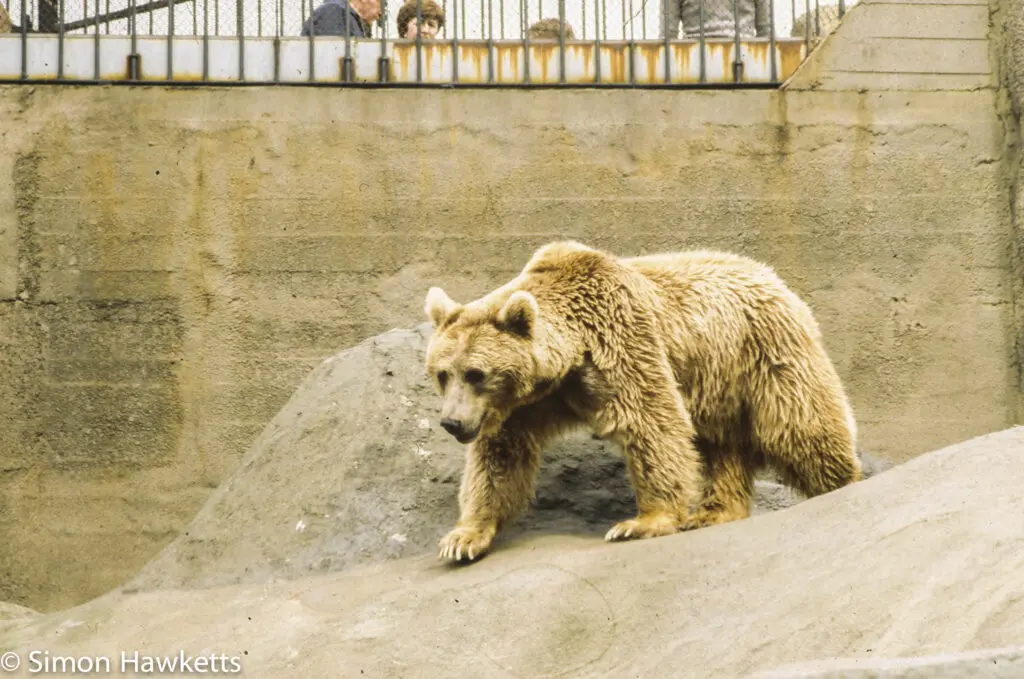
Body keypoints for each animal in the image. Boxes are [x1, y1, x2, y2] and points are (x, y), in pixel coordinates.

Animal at [423, 240, 861, 563]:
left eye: (476, 374)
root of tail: (772, 275)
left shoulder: (621, 338)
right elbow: (500, 457)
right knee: (721, 446)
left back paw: (843, 483)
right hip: (715, 383)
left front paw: (639, 523)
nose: (452, 423)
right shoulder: (526, 403)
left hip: (765, 353)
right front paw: (463, 538)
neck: (567, 358)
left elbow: (651, 420)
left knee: (800, 426)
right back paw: (715, 511)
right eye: (443, 373)